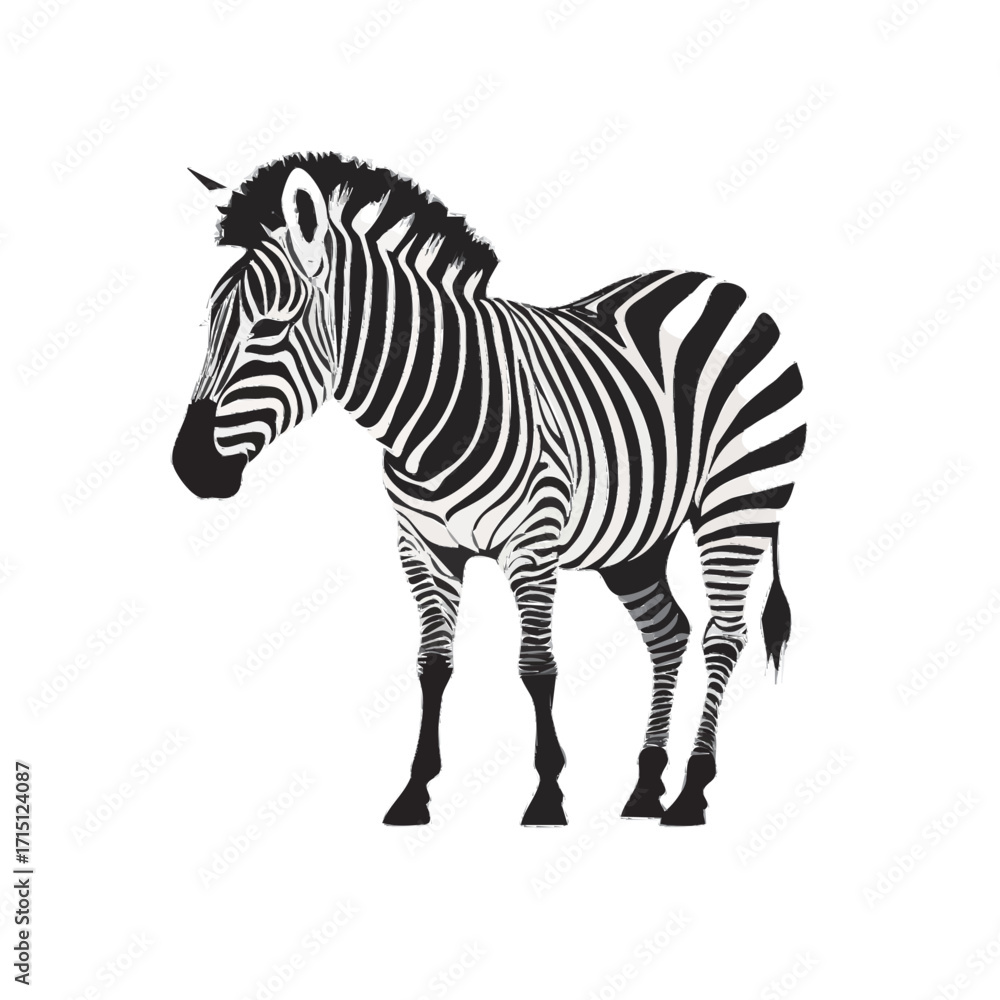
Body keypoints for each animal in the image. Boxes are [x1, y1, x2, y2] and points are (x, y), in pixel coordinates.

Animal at [174, 152, 806, 827]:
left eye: (271, 328)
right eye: (208, 324)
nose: (189, 465)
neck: (431, 411)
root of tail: (722, 286)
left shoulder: (533, 543)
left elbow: (536, 666)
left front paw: (547, 795)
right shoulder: (424, 550)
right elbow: (433, 665)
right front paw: (414, 792)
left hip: (737, 505)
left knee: (721, 636)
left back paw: (691, 791)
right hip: (638, 540)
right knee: (669, 634)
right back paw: (645, 786)